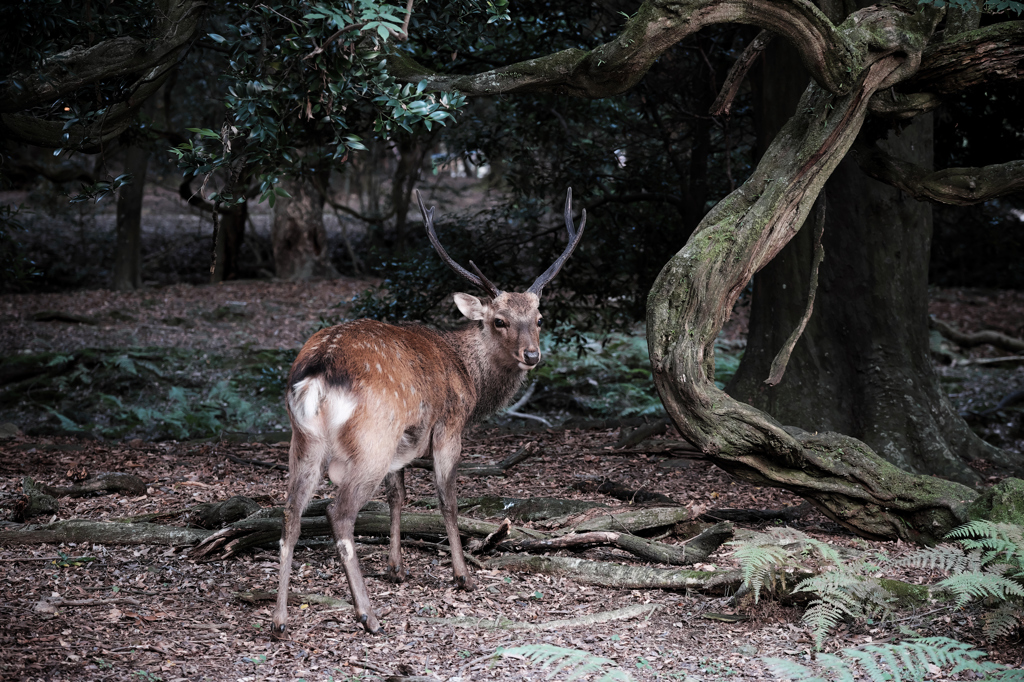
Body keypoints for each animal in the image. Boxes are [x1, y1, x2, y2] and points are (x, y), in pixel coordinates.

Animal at [270, 184, 585, 630]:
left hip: (304, 439)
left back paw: (280, 619)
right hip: (371, 438)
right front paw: (462, 575)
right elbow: (446, 500)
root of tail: (317, 369)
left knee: (291, 514)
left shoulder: (405, 443)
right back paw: (367, 614)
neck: (470, 378)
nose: (532, 355)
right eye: (500, 321)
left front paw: (396, 568)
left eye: (539, 318)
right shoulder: (449, 426)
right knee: (338, 513)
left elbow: (397, 496)